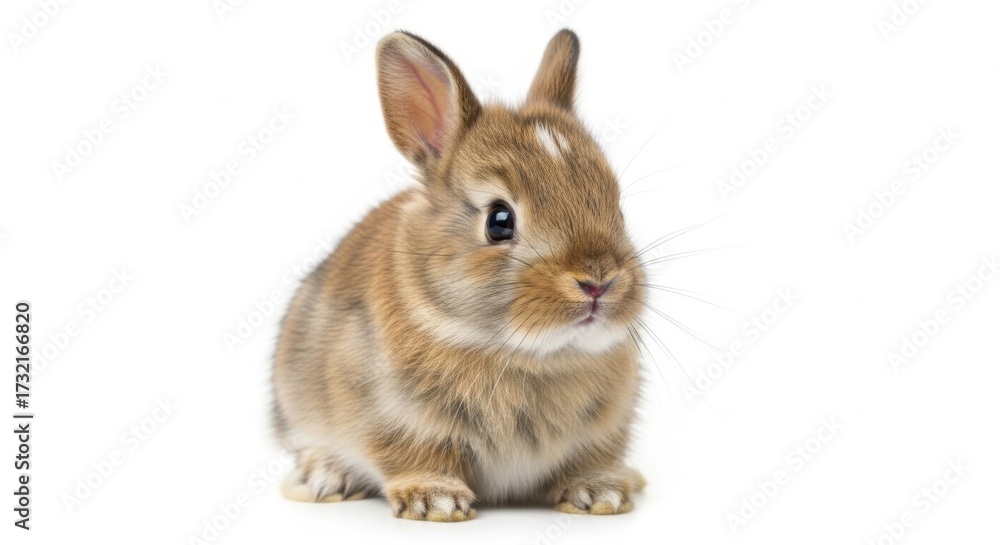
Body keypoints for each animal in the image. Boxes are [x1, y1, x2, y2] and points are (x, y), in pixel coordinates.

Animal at [272, 28, 647, 522]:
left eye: (617, 207)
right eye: (499, 220)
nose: (598, 281)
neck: (527, 356)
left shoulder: (604, 428)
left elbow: (590, 459)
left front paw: (600, 493)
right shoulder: (395, 420)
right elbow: (414, 456)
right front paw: (437, 501)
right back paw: (324, 479)